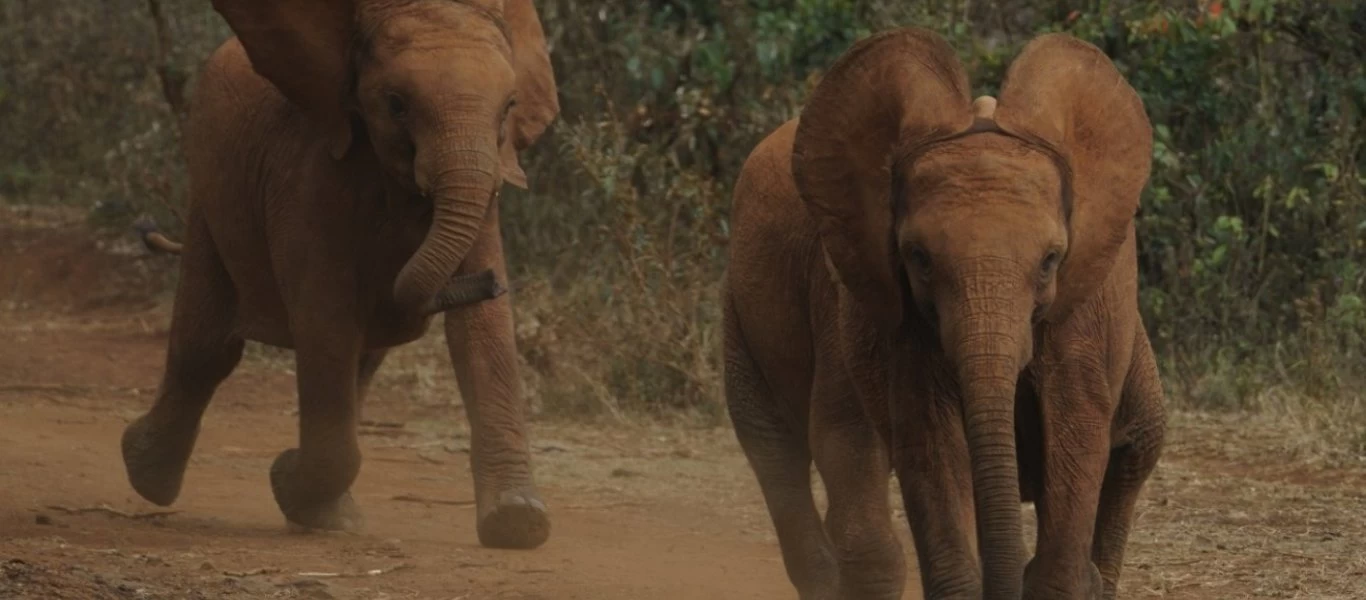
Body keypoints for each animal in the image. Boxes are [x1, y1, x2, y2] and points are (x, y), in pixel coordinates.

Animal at [118, 0, 560, 552]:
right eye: (396, 104)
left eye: (509, 107)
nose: (489, 282)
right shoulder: (305, 168)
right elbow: (325, 319)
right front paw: (285, 477)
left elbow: (481, 332)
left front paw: (518, 524)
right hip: (210, 195)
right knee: (208, 348)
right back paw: (147, 474)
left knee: (362, 360)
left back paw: (327, 517)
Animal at [726, 25, 1163, 598]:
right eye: (919, 258)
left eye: (1051, 260)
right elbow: (926, 436)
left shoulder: (1089, 301)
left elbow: (1077, 428)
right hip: (739, 307)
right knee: (775, 443)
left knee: (1139, 443)